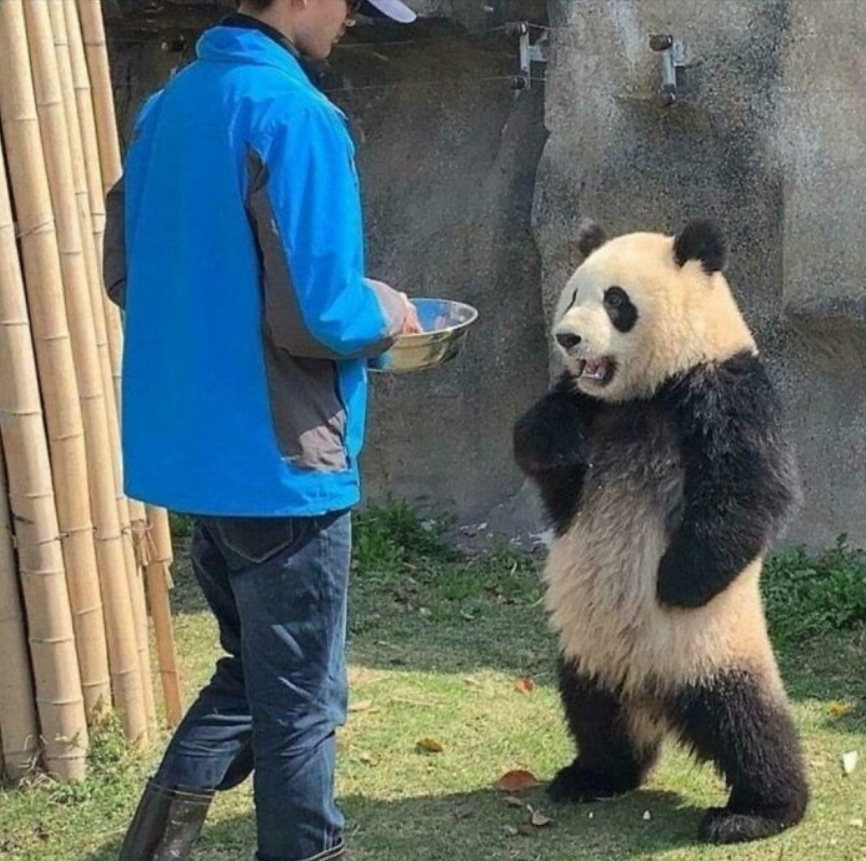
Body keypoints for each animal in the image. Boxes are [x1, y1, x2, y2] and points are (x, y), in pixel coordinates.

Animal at [513, 218, 808, 845]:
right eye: (572, 296)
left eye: (616, 302)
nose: (567, 339)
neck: (645, 392)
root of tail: (652, 690)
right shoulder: (588, 407)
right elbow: (546, 460)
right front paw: (560, 438)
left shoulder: (723, 385)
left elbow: (752, 489)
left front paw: (676, 580)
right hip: (587, 648)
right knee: (593, 711)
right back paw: (595, 775)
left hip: (712, 647)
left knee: (747, 723)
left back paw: (757, 811)